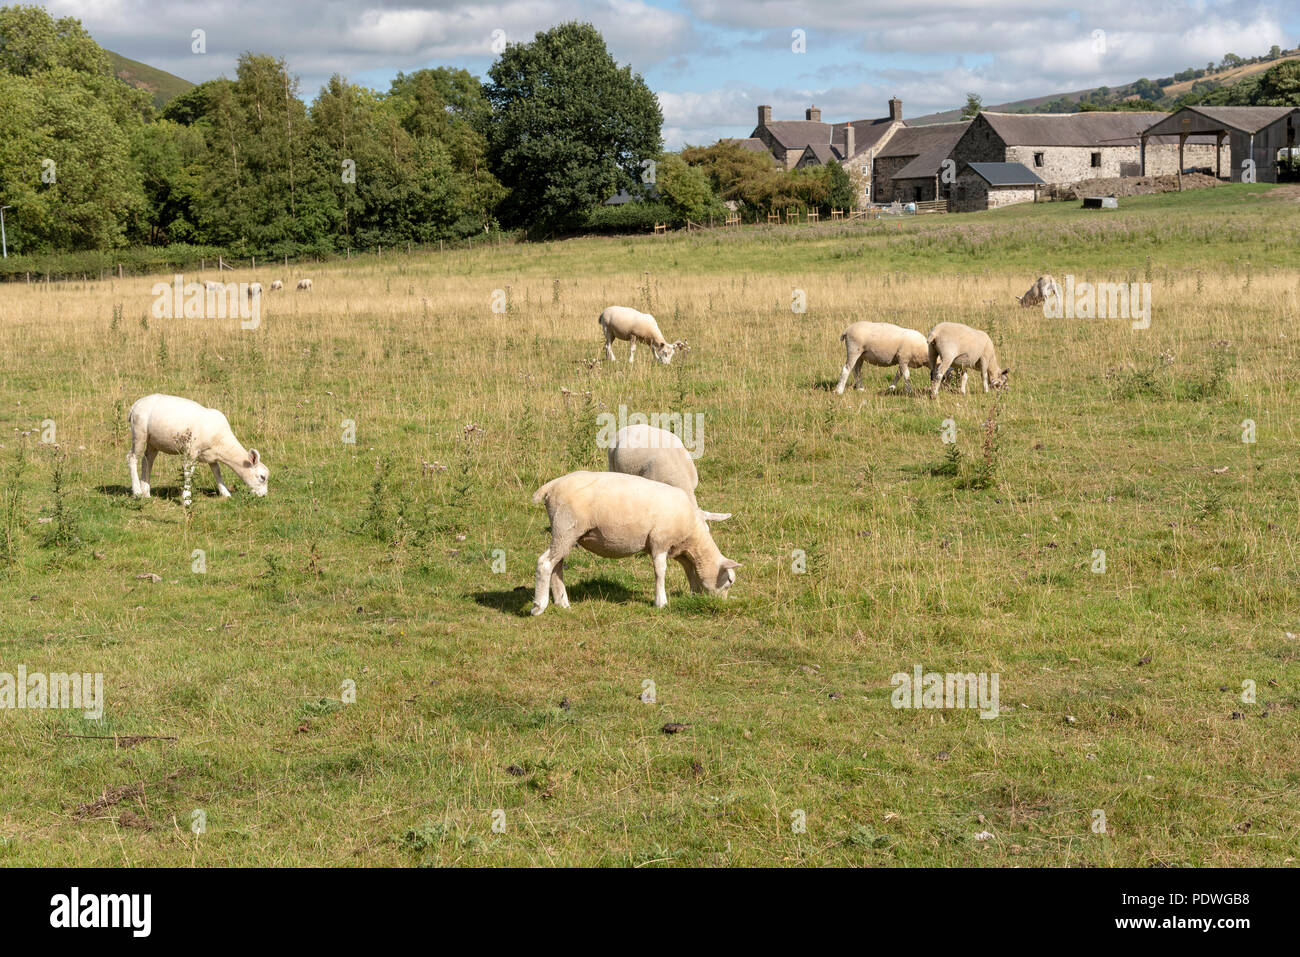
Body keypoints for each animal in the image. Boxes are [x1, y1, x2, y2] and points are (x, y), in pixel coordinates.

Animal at [126, 394, 269, 499]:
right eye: (262, 477)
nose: (263, 495)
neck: (222, 444)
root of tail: (135, 405)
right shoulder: (191, 451)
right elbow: (189, 472)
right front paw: (186, 497)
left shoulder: (211, 455)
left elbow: (217, 472)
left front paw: (226, 493)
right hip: (139, 433)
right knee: (132, 457)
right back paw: (137, 491)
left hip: (153, 441)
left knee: (147, 461)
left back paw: (146, 492)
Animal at [530, 470, 739, 614]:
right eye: (729, 581)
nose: (719, 605)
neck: (693, 536)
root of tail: (551, 486)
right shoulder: (660, 542)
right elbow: (660, 571)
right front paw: (661, 602)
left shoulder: (679, 550)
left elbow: (690, 572)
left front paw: (693, 594)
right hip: (566, 528)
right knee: (545, 563)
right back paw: (539, 606)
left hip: (565, 534)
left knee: (557, 565)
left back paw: (563, 603)